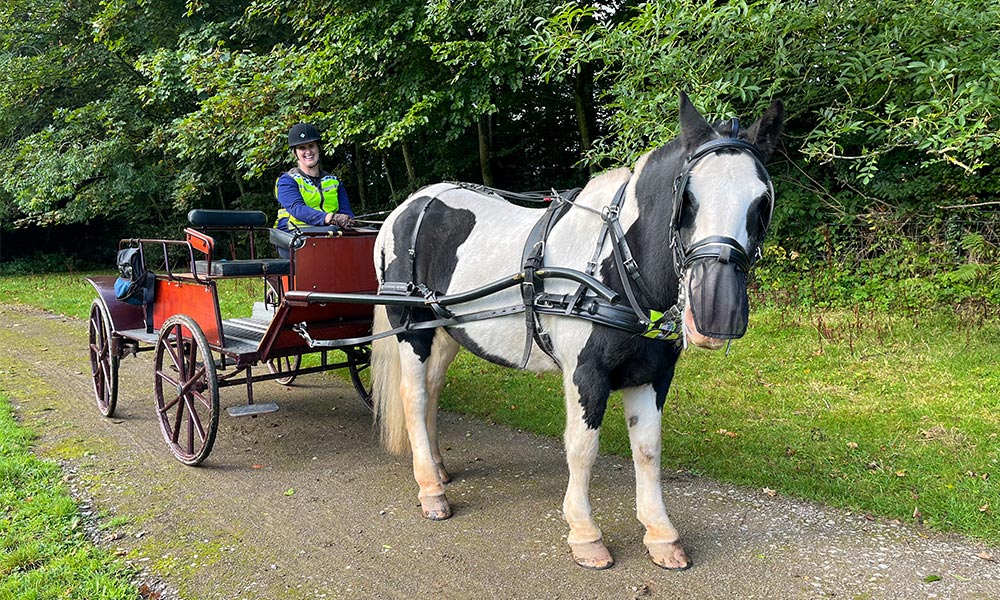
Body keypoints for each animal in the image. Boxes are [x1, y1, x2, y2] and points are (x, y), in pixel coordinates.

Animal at [370, 91, 783, 570]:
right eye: (688, 198)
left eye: (762, 202)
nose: (717, 313)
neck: (617, 265)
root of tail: (409, 206)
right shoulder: (585, 374)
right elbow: (583, 448)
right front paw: (585, 533)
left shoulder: (653, 375)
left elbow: (648, 450)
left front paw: (661, 534)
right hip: (411, 329)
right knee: (415, 397)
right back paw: (431, 490)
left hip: (447, 330)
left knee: (433, 390)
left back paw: (437, 467)